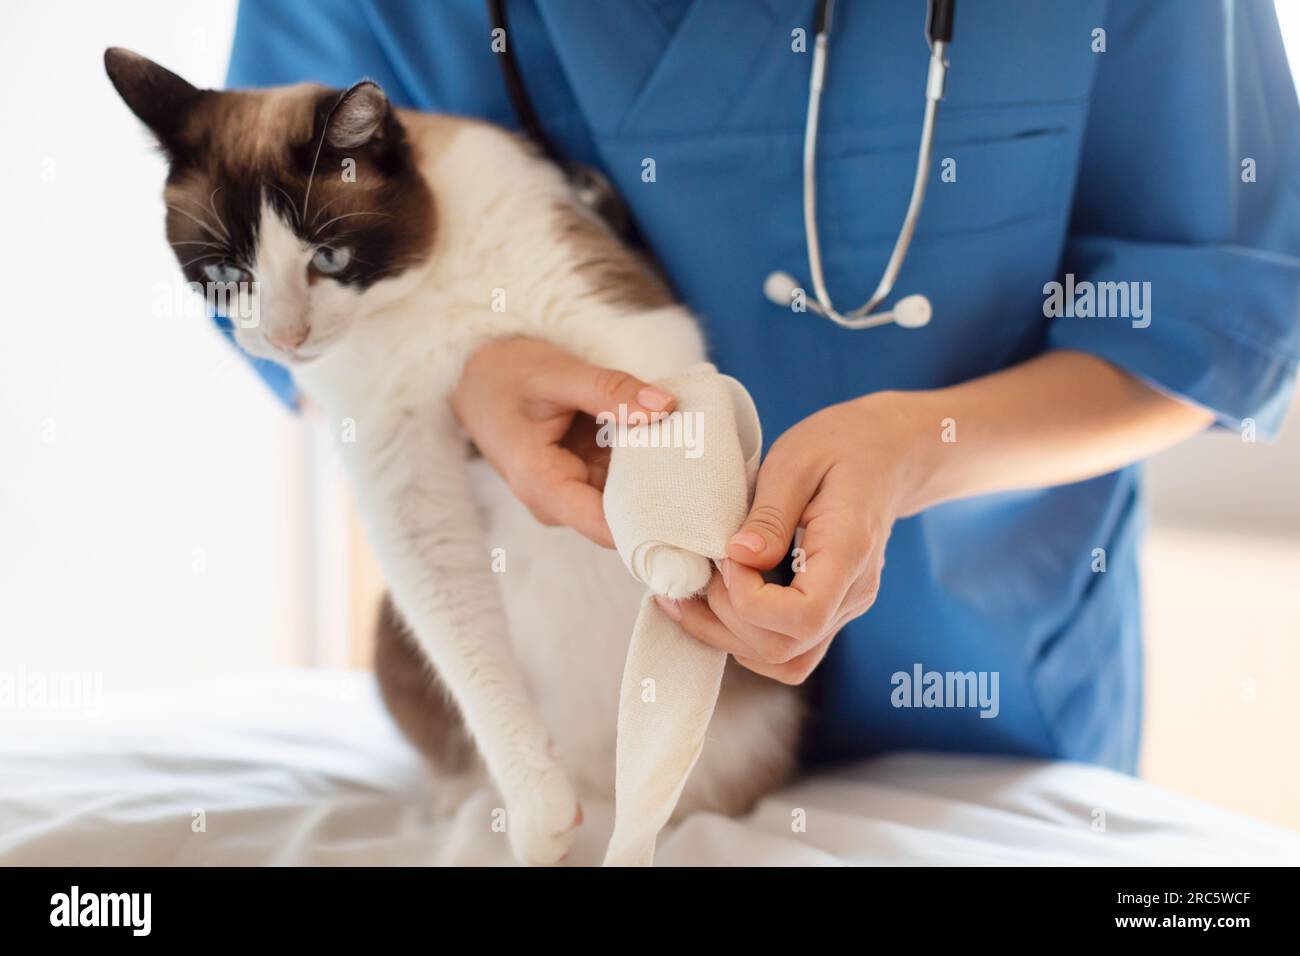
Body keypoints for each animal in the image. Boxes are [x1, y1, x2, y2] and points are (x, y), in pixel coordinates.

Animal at [106, 46, 800, 868]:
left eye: (329, 256)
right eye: (224, 276)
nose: (284, 338)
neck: (413, 301)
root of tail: (605, 784)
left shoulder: (629, 325)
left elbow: (664, 417)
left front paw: (673, 557)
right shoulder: (398, 473)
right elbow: (467, 651)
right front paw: (538, 816)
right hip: (388, 639)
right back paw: (482, 807)